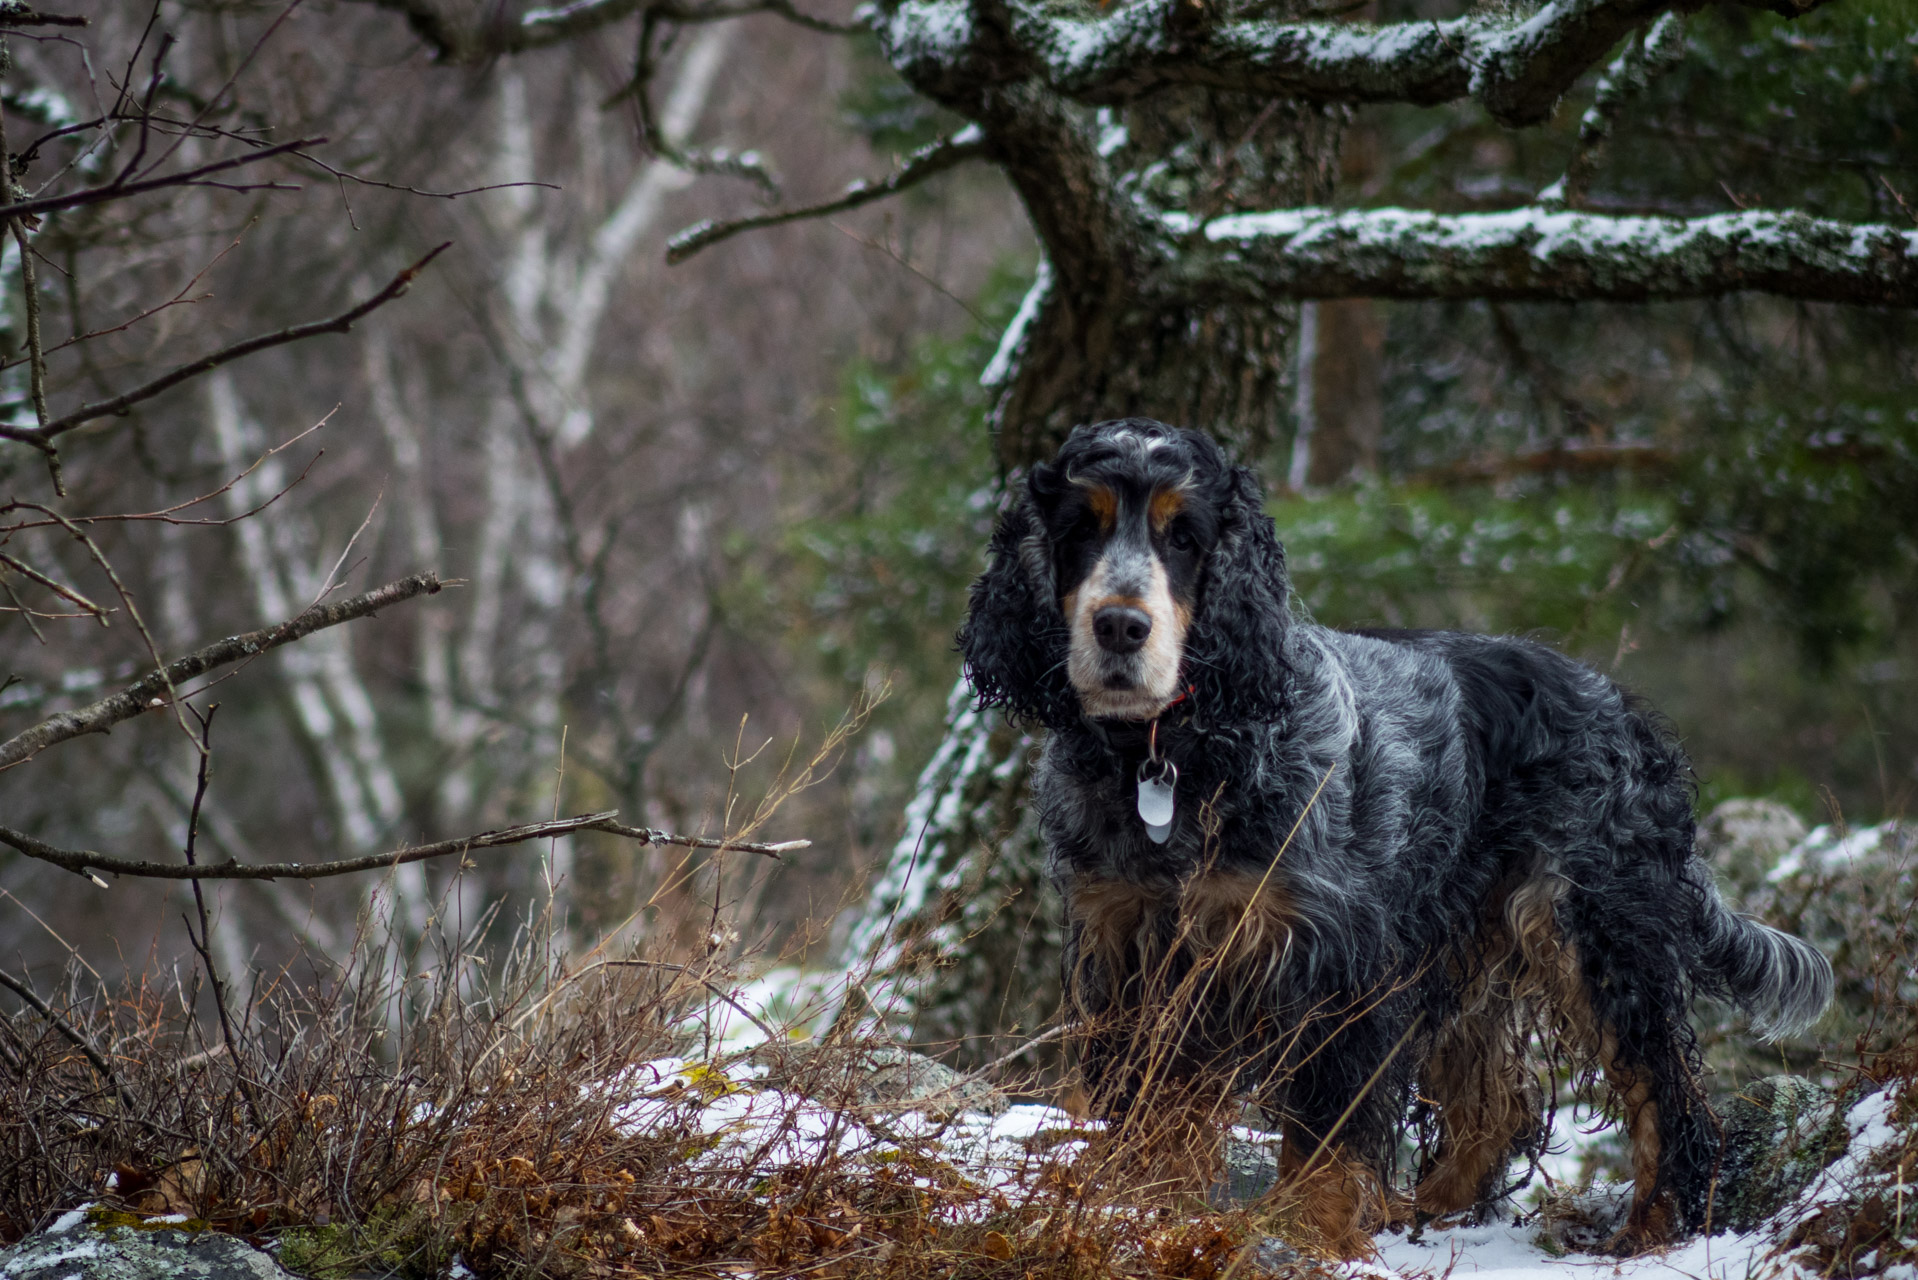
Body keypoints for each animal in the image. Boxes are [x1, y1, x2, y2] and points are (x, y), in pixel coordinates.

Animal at [955, 418, 1825, 1251]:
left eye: (1185, 536)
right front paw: (1141, 1206)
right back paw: (1426, 1209)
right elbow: (1151, 1107)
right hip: (1464, 943)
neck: (1173, 759)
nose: (1119, 627)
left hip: (1592, 930)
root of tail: (1623, 709)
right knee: (1497, 1108)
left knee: (1671, 1103)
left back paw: (1649, 1231)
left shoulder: (1338, 964)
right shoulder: (1129, 944)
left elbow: (1326, 1127)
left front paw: (1304, 1231)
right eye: (1080, 527)